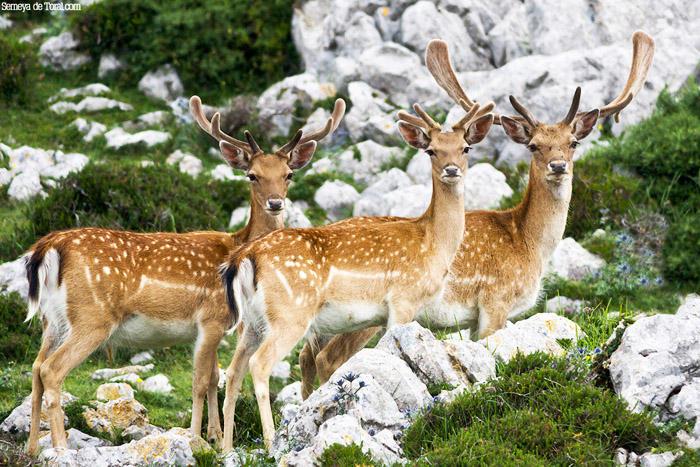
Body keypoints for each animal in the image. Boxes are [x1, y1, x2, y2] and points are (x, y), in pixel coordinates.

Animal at [23, 97, 346, 456]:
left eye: (288, 174)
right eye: (252, 175)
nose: (276, 203)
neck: (238, 243)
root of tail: (48, 247)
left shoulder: (213, 327)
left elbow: (214, 376)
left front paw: (216, 437)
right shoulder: (212, 318)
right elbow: (200, 380)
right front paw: (196, 438)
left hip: (52, 320)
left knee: (35, 368)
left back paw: (32, 448)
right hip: (91, 317)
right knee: (52, 370)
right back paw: (61, 448)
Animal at [219, 90, 492, 450]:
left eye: (465, 147)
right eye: (431, 149)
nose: (451, 169)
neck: (432, 244)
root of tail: (245, 256)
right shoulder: (403, 301)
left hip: (252, 322)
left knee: (232, 371)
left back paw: (225, 449)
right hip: (290, 314)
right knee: (260, 365)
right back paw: (270, 442)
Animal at [300, 32, 656, 398]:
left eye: (573, 142)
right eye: (533, 145)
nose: (558, 166)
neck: (528, 243)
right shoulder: (495, 303)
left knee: (306, 356)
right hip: (362, 315)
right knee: (327, 358)